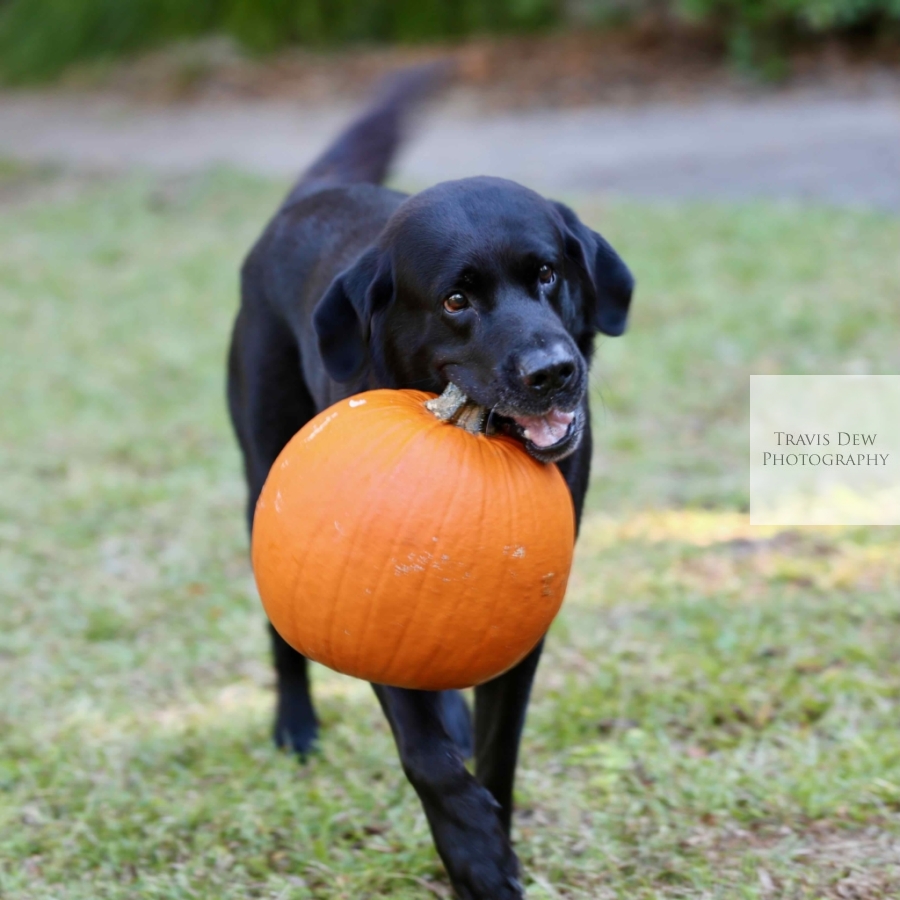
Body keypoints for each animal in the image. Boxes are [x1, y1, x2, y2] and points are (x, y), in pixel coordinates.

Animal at [227, 65, 634, 899]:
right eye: (456, 300)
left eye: (548, 274)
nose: (554, 372)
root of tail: (305, 201)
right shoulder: (359, 600)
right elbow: (423, 752)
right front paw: (473, 851)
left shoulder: (525, 627)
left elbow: (497, 752)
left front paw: (493, 841)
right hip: (261, 479)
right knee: (283, 635)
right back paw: (294, 725)